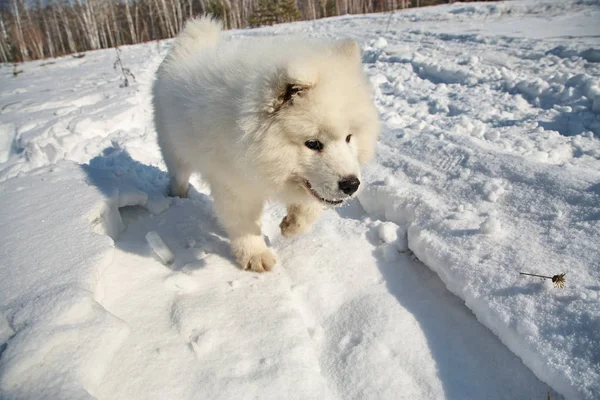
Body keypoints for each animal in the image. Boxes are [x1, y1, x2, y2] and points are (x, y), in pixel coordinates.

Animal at [154, 15, 380, 272]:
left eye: (349, 138)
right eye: (313, 144)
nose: (351, 184)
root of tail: (191, 42)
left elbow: (311, 204)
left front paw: (292, 225)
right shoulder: (234, 185)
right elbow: (245, 225)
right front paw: (256, 257)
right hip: (174, 151)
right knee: (178, 176)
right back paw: (178, 196)